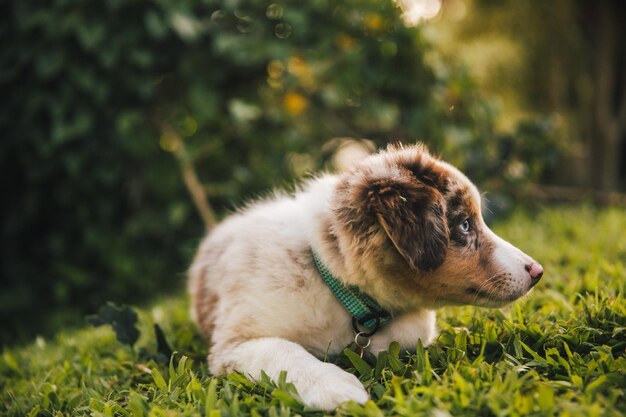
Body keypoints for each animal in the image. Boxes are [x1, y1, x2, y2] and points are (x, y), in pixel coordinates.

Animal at [186, 145, 540, 408]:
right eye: (465, 225)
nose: (537, 271)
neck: (331, 282)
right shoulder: (233, 343)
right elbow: (282, 350)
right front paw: (334, 387)